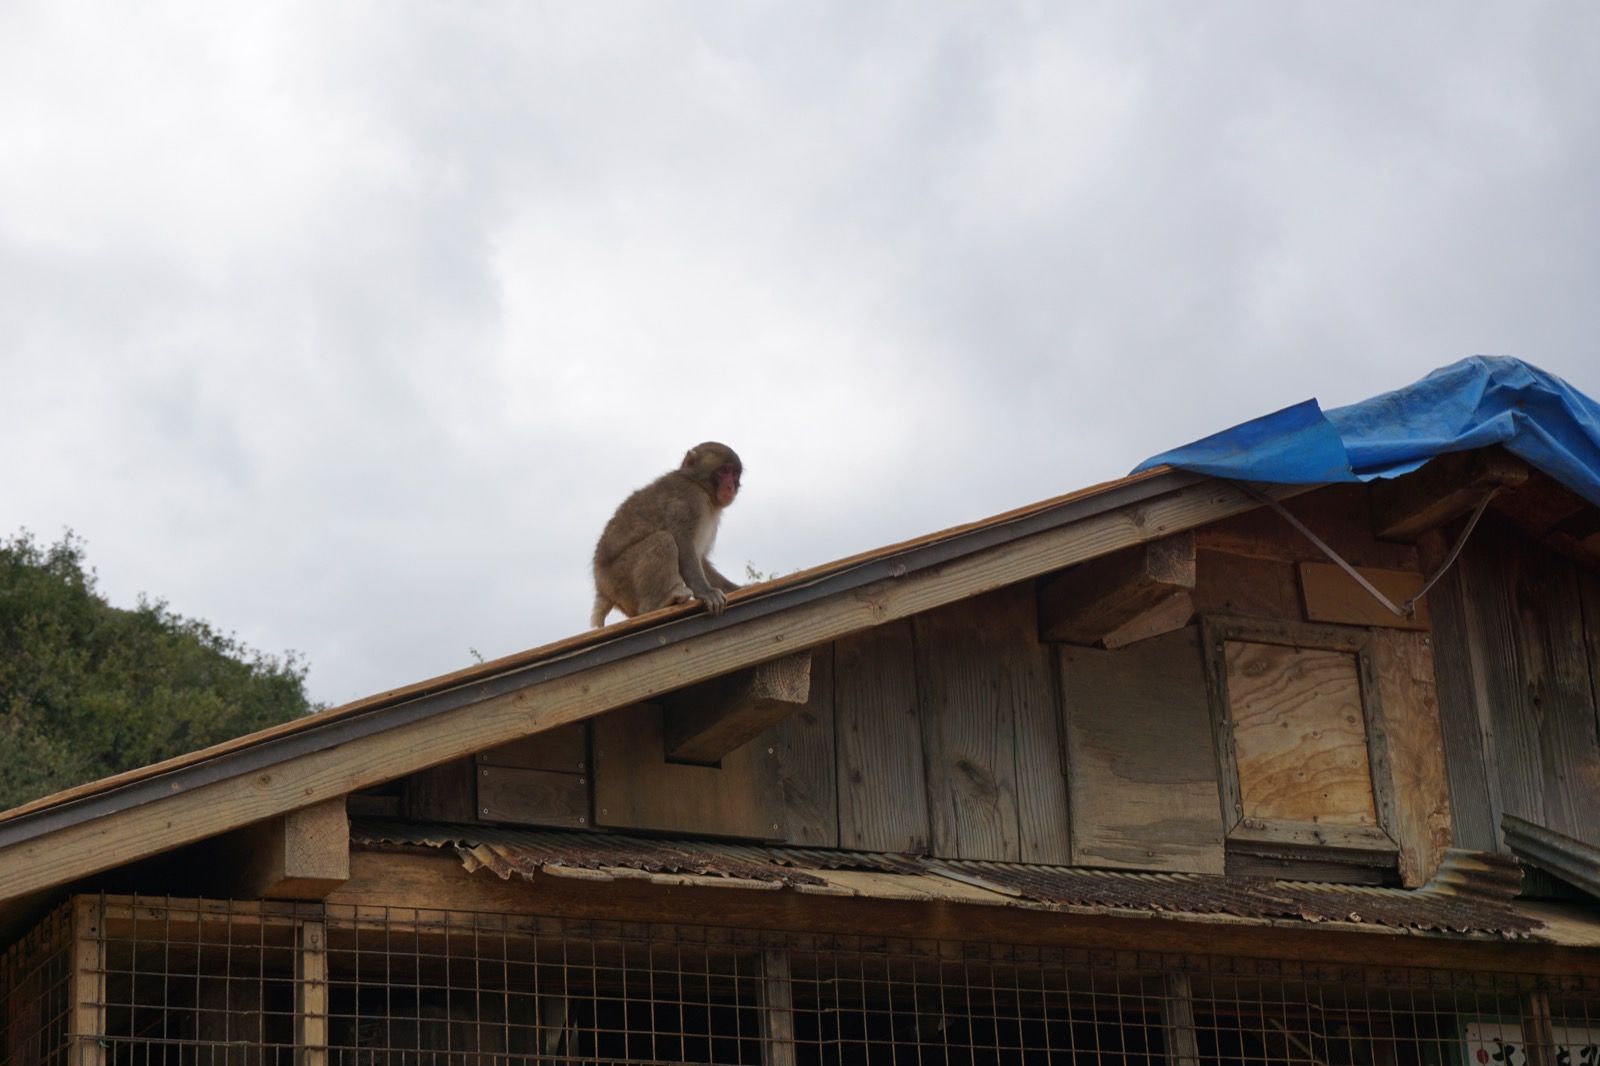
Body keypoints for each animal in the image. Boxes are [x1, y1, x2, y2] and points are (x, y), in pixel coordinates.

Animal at [592, 438, 739, 624]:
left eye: (734, 473)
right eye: (723, 471)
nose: (730, 487)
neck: (699, 484)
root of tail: (602, 589)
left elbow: (700, 557)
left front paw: (738, 588)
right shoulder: (690, 500)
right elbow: (684, 544)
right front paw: (706, 592)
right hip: (618, 580)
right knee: (663, 540)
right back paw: (657, 603)